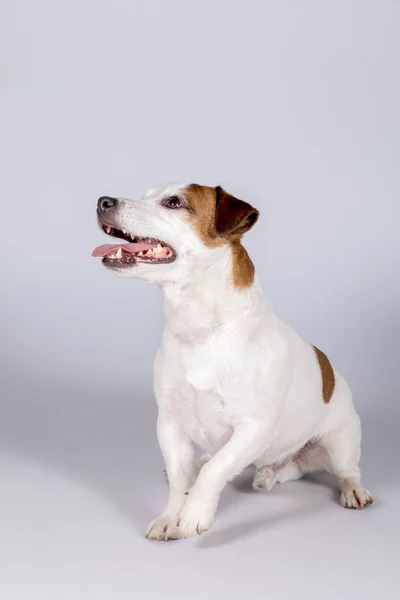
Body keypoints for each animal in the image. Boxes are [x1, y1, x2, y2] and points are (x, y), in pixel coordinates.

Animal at [92, 182, 374, 540]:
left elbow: (217, 469)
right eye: (146, 194)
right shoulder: (169, 423)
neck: (201, 329)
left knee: (346, 471)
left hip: (340, 445)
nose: (102, 201)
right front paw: (171, 515)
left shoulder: (254, 427)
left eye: (174, 202)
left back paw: (351, 489)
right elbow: (183, 477)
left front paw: (194, 512)